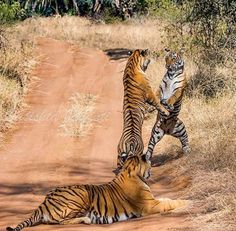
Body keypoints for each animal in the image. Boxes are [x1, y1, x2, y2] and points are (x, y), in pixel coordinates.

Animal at [6, 153, 188, 231]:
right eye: (149, 164)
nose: (152, 172)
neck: (131, 170)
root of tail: (43, 203)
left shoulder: (153, 200)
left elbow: (167, 198)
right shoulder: (150, 205)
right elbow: (171, 202)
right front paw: (189, 201)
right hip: (81, 194)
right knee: (60, 222)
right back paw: (87, 220)